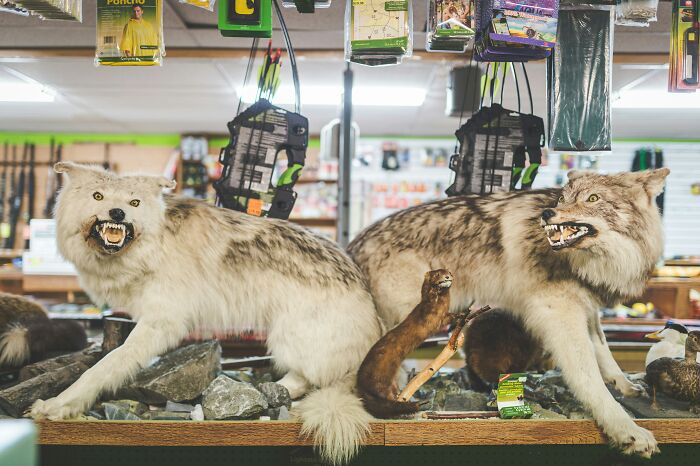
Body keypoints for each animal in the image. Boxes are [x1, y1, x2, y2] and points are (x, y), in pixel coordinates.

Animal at [29, 162, 382, 465]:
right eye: (98, 196)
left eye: (134, 202)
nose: (118, 212)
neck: (151, 248)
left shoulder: (162, 323)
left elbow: (107, 365)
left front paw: (58, 404)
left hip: (287, 339)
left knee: (311, 380)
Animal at [348, 169, 670, 458]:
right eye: (563, 198)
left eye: (592, 198)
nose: (547, 213)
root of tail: (354, 246)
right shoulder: (558, 312)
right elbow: (587, 375)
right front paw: (625, 429)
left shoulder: (587, 308)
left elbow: (604, 352)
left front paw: (625, 386)